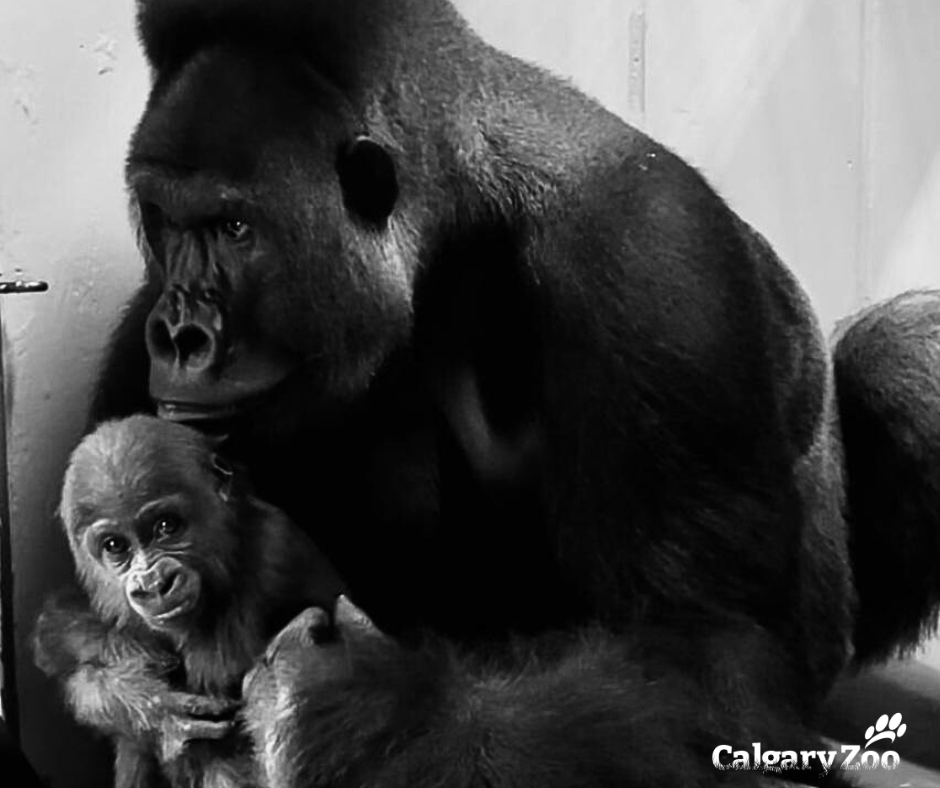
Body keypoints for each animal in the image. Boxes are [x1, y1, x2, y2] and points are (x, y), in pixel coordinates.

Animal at [33, 415, 345, 788]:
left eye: (167, 526)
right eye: (114, 546)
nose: (153, 583)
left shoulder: (278, 550)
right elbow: (54, 632)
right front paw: (147, 703)